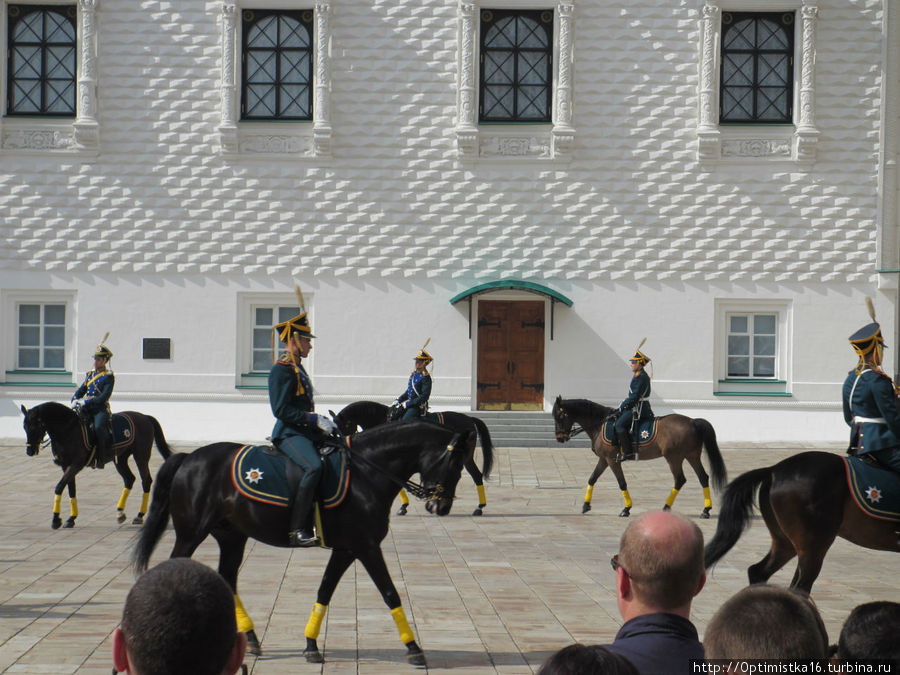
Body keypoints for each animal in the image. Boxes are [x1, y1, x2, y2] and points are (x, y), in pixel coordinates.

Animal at [20, 402, 172, 528]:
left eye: (34, 426)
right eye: (24, 427)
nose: (29, 451)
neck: (68, 430)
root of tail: (145, 417)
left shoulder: (76, 464)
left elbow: (59, 487)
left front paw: (56, 520)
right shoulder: (66, 466)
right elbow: (71, 489)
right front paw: (71, 518)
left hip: (141, 456)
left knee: (146, 480)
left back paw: (139, 515)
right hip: (120, 458)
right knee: (129, 479)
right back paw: (120, 513)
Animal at [134, 422, 474, 664]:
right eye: (456, 465)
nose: (441, 506)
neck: (366, 472)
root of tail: (189, 458)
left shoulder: (347, 549)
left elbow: (324, 590)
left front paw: (311, 645)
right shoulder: (366, 547)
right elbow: (390, 592)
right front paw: (414, 647)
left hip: (232, 536)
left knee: (228, 578)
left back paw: (251, 639)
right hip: (191, 533)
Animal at [334, 398, 496, 516]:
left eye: (343, 427)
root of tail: (469, 418)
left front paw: (403, 506)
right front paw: (404, 506)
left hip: (466, 457)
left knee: (477, 476)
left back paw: (479, 507)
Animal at [552, 396, 728, 516]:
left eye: (559, 416)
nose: (560, 438)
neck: (600, 424)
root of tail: (692, 421)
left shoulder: (612, 460)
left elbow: (622, 483)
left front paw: (626, 508)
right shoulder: (604, 460)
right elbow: (592, 479)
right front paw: (586, 505)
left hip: (674, 458)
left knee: (680, 479)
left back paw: (666, 507)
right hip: (692, 456)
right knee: (703, 477)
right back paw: (706, 509)